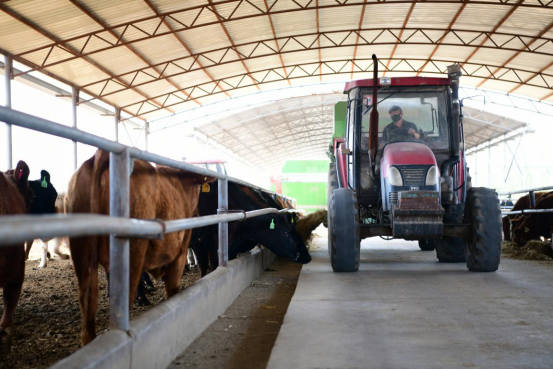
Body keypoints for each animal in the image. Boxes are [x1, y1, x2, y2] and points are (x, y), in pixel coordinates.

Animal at [68, 148, 215, 344]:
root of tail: (102, 154)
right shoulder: (180, 255)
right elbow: (172, 291)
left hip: (84, 260)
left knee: (87, 321)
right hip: (131, 257)